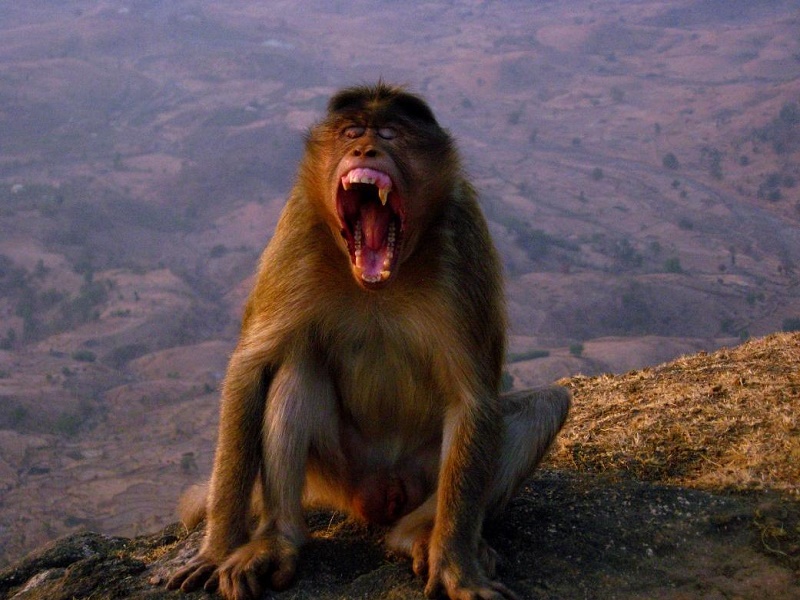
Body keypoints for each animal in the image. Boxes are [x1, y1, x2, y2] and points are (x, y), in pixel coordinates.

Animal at [167, 83, 570, 600]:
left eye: (390, 133)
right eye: (352, 132)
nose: (365, 150)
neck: (379, 280)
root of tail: (381, 491)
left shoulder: (462, 238)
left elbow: (473, 400)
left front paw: (456, 565)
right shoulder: (299, 229)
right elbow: (251, 367)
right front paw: (217, 548)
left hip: (420, 475)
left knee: (544, 406)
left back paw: (415, 536)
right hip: (341, 474)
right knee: (296, 370)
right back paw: (279, 541)